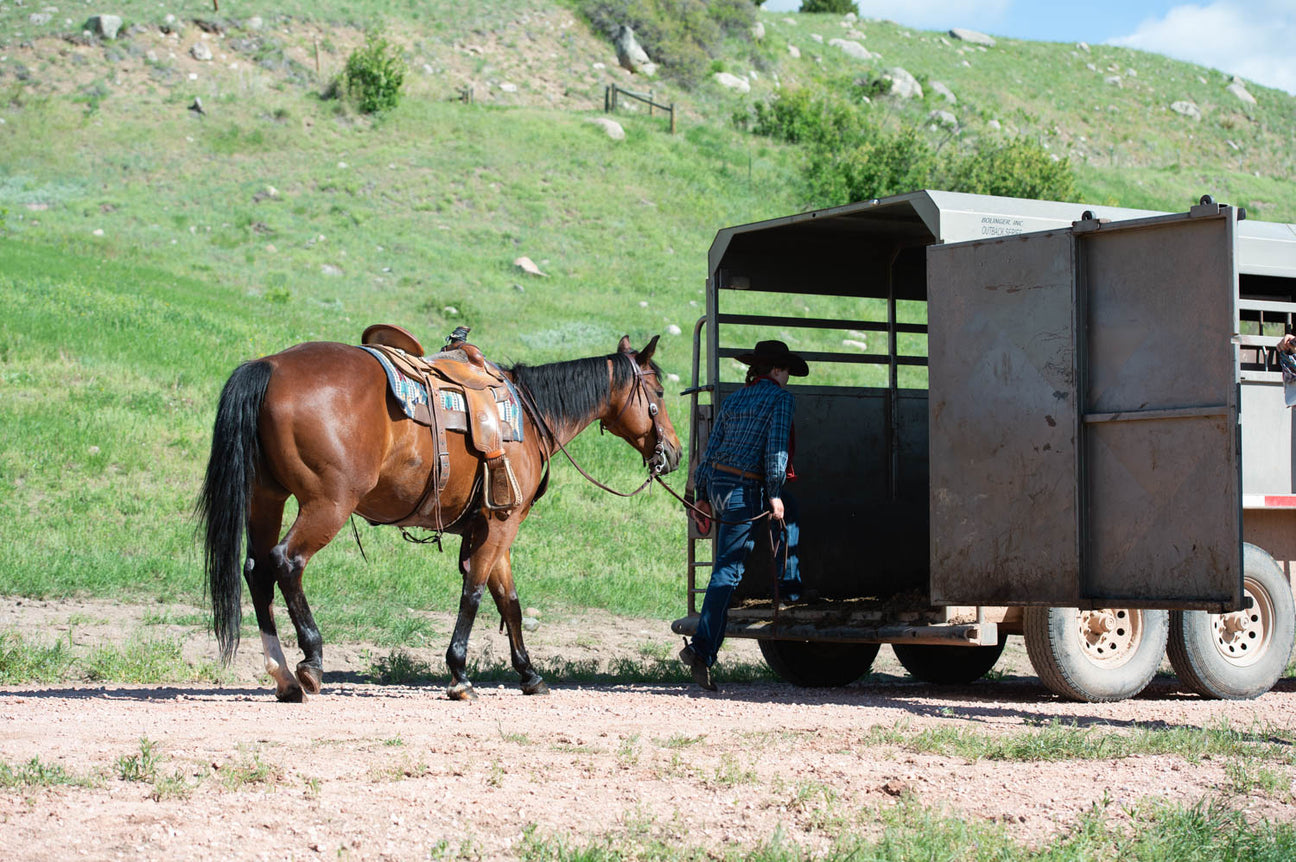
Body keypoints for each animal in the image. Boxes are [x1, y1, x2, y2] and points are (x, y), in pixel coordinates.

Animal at [198, 330, 684, 699]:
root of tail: (270, 366)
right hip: (327, 504)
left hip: (267, 498)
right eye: (658, 392)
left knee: (256, 570)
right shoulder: (502, 525)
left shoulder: (492, 525)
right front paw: (460, 674)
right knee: (287, 562)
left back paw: (282, 675)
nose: (674, 453)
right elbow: (474, 593)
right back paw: (312, 661)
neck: (530, 417)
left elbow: (509, 601)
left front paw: (529, 674)